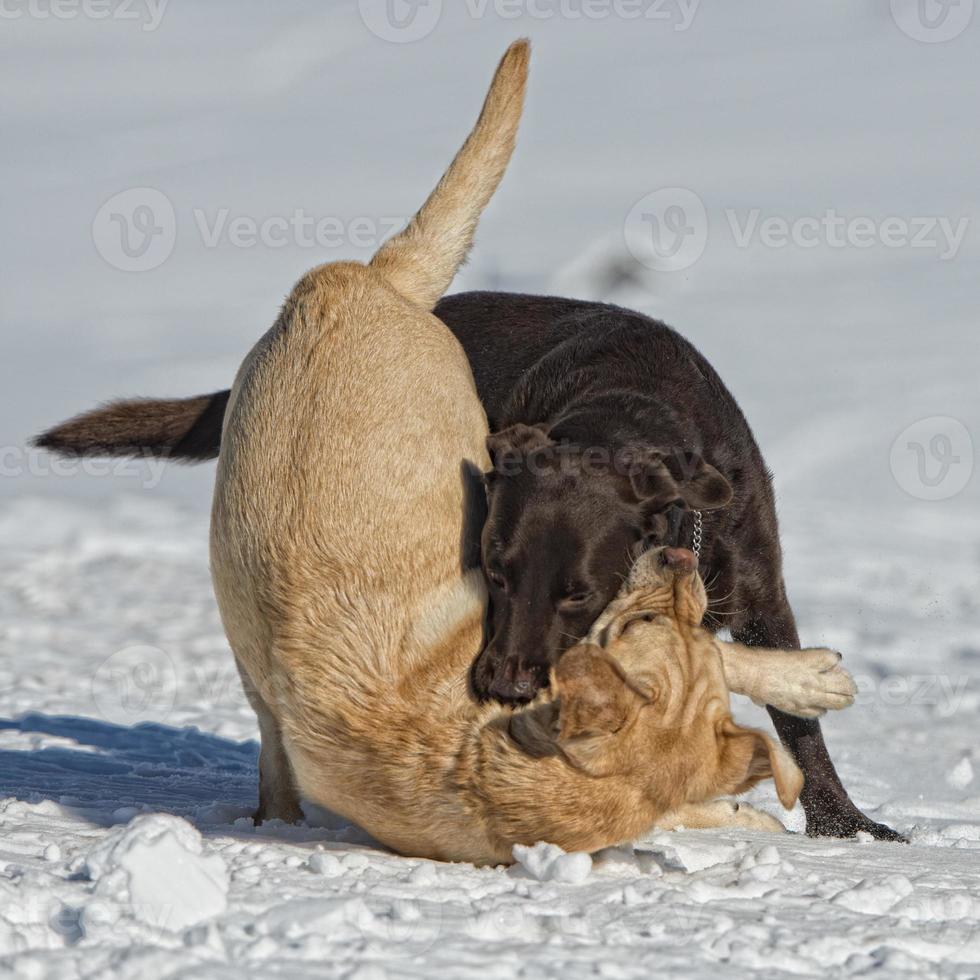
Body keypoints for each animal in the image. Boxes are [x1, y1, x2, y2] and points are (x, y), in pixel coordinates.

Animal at [34, 286, 908, 844]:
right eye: (493, 569)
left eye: (577, 591)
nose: (503, 686)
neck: (628, 406)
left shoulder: (757, 585)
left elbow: (799, 727)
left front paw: (845, 824)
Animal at [211, 44, 852, 864]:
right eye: (495, 572)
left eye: (576, 591)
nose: (503, 685)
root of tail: (348, 279)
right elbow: (719, 666)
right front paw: (808, 684)